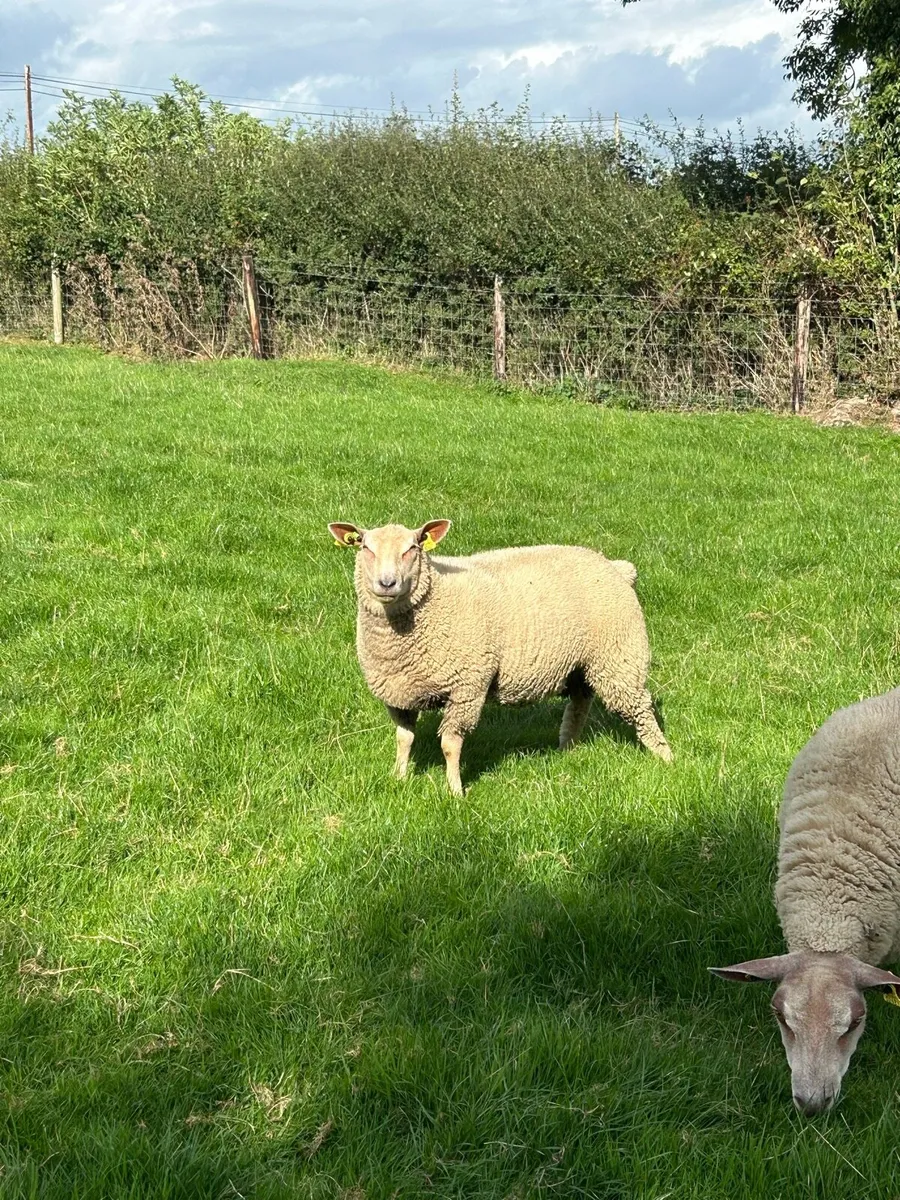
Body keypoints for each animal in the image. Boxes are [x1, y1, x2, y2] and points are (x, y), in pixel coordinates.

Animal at [327, 518, 672, 795]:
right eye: (365, 547)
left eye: (412, 548)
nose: (387, 583)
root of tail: (615, 567)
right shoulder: (398, 693)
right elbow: (404, 739)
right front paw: (398, 778)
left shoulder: (467, 687)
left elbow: (450, 745)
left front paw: (455, 792)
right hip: (582, 663)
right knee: (579, 702)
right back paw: (566, 749)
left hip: (620, 657)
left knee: (641, 709)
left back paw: (666, 758)